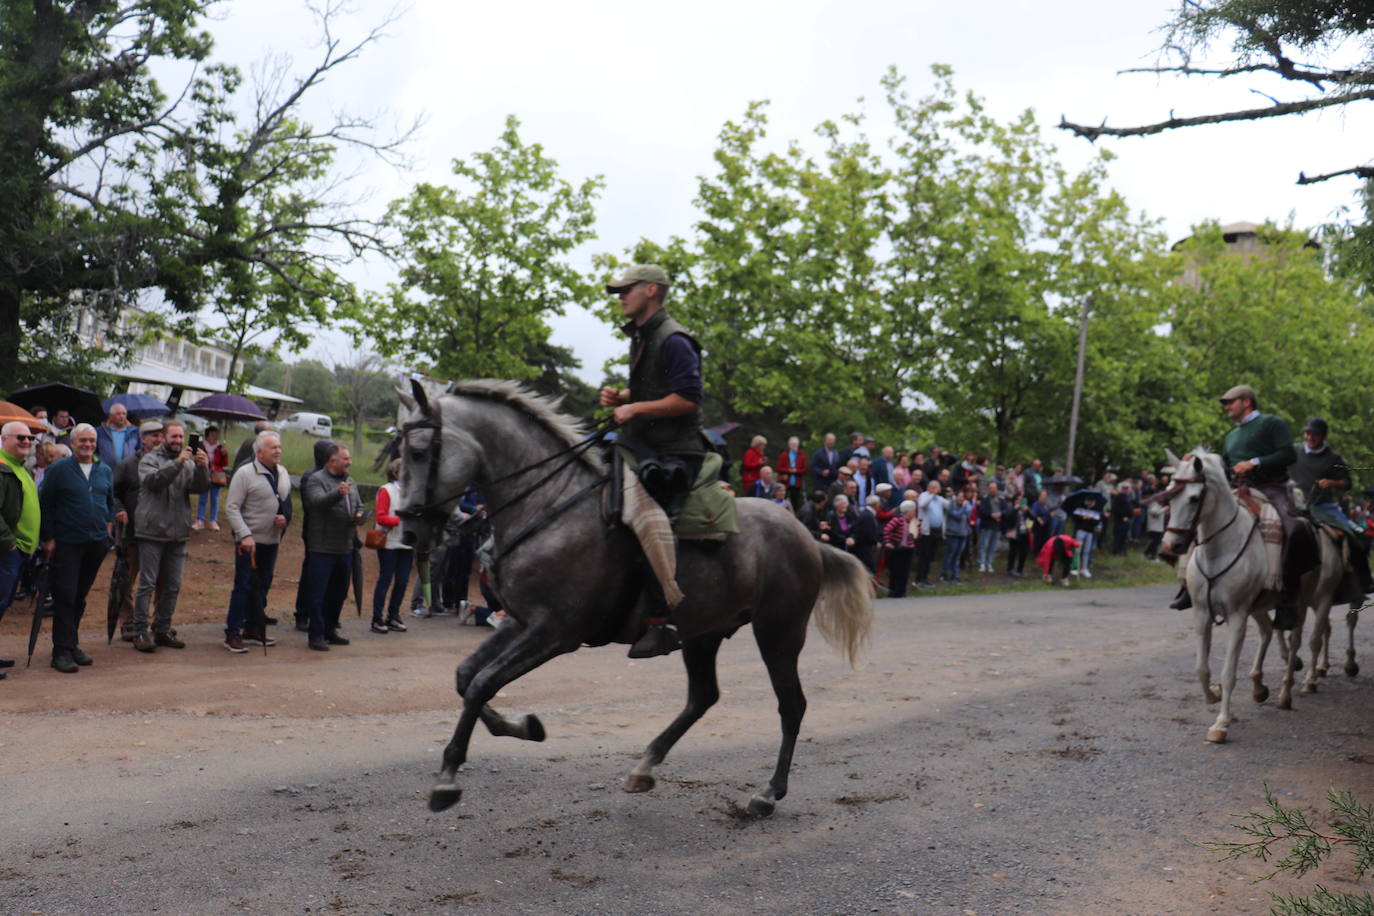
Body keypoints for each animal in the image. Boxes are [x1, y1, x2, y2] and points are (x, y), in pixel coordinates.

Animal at [395, 379, 868, 818]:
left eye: (417, 451)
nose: (410, 532)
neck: (549, 507)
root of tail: (805, 535)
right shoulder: (520, 621)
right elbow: (467, 677)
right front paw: (524, 727)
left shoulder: (554, 632)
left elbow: (481, 684)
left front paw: (448, 777)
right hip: (704, 633)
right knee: (703, 698)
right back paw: (646, 766)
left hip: (778, 634)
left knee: (791, 706)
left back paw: (768, 793)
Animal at [1159, 450, 1341, 747]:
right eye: (1168, 497)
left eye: (1194, 498)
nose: (1169, 546)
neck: (1219, 548)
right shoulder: (1202, 613)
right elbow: (1201, 669)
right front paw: (1214, 693)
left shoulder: (1236, 616)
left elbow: (1228, 672)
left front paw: (1221, 723)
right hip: (1259, 608)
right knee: (1268, 631)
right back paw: (1259, 686)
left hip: (1303, 603)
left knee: (1299, 641)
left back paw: (1287, 694)